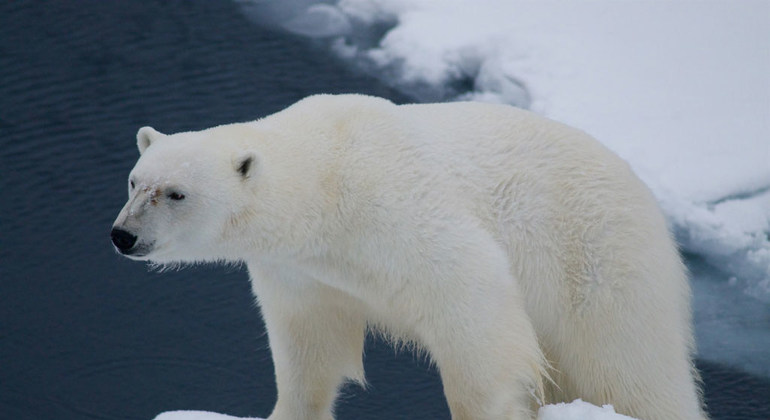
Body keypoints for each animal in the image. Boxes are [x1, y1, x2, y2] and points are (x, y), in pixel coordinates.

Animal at [111, 94, 704, 420]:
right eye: (136, 181)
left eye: (176, 193)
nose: (123, 236)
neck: (325, 178)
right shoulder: (303, 272)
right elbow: (310, 345)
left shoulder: (397, 205)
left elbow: (473, 300)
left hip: (600, 258)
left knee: (630, 369)